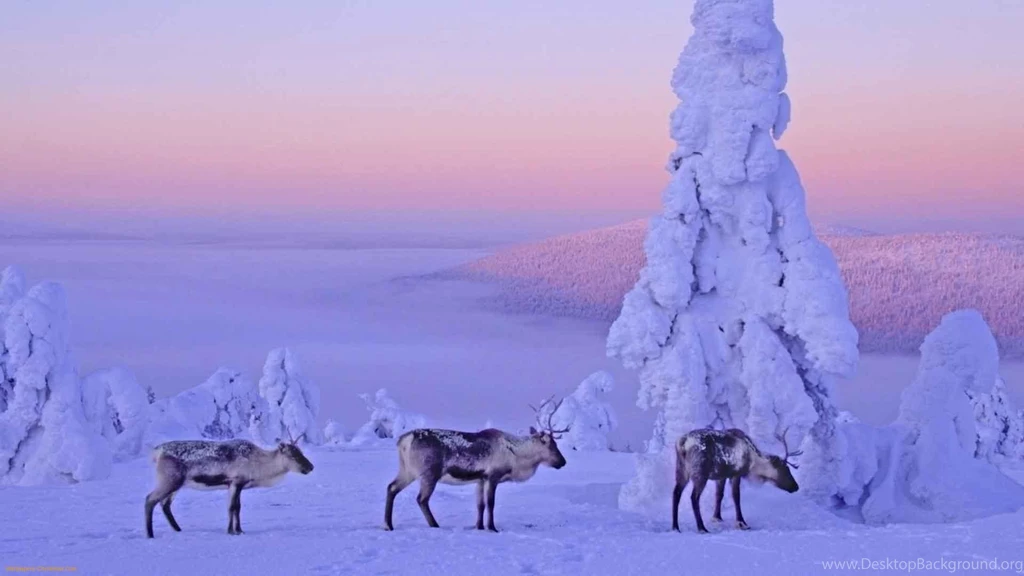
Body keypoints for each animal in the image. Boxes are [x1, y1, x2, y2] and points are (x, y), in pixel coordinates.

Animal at [144, 437, 314, 538]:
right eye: (292, 455)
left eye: (301, 452)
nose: (311, 467)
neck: (259, 465)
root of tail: (157, 452)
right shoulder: (235, 482)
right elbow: (232, 507)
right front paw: (231, 531)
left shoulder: (237, 485)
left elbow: (237, 508)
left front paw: (239, 530)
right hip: (169, 481)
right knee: (150, 500)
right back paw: (150, 534)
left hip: (177, 484)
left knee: (165, 504)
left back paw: (178, 529)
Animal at [384, 397, 569, 532]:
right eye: (552, 445)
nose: (563, 462)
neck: (517, 458)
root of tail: (403, 440)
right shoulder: (493, 476)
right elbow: (491, 503)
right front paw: (492, 528)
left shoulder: (480, 479)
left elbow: (480, 505)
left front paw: (479, 527)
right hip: (429, 473)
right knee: (421, 499)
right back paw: (434, 525)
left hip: (407, 470)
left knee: (391, 487)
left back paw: (388, 525)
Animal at [671, 426, 801, 534]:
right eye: (786, 469)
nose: (796, 487)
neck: (753, 462)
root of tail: (682, 443)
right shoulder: (736, 473)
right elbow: (736, 496)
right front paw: (741, 523)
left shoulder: (721, 476)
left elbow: (719, 495)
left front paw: (717, 517)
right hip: (700, 473)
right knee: (694, 497)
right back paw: (702, 528)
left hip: (681, 470)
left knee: (676, 493)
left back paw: (675, 527)